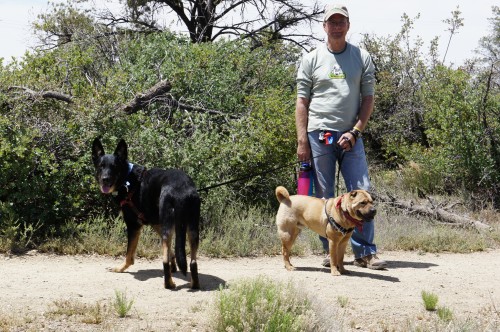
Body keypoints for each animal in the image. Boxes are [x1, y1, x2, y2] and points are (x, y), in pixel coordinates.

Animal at [91, 137, 200, 288]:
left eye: (114, 167)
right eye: (101, 166)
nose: (105, 179)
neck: (127, 178)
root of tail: (181, 190)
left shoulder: (134, 225)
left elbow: (129, 254)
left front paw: (120, 268)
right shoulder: (156, 224)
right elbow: (171, 251)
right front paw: (174, 266)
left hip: (168, 226)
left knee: (164, 260)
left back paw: (169, 284)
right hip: (192, 228)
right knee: (193, 261)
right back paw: (194, 284)